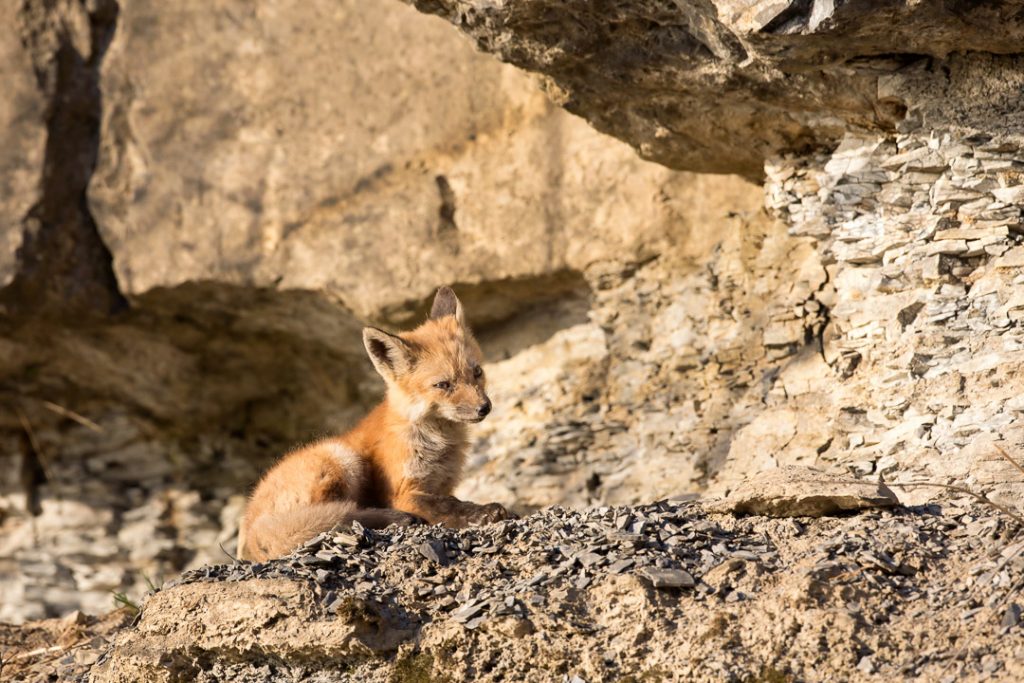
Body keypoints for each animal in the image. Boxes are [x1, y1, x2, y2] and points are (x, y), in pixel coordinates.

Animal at [238, 286, 510, 562]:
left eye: (477, 372)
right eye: (443, 385)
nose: (484, 407)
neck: (437, 443)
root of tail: (251, 528)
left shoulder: (440, 485)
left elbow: (448, 499)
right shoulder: (403, 492)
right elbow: (446, 505)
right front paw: (483, 513)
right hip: (342, 459)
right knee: (339, 516)